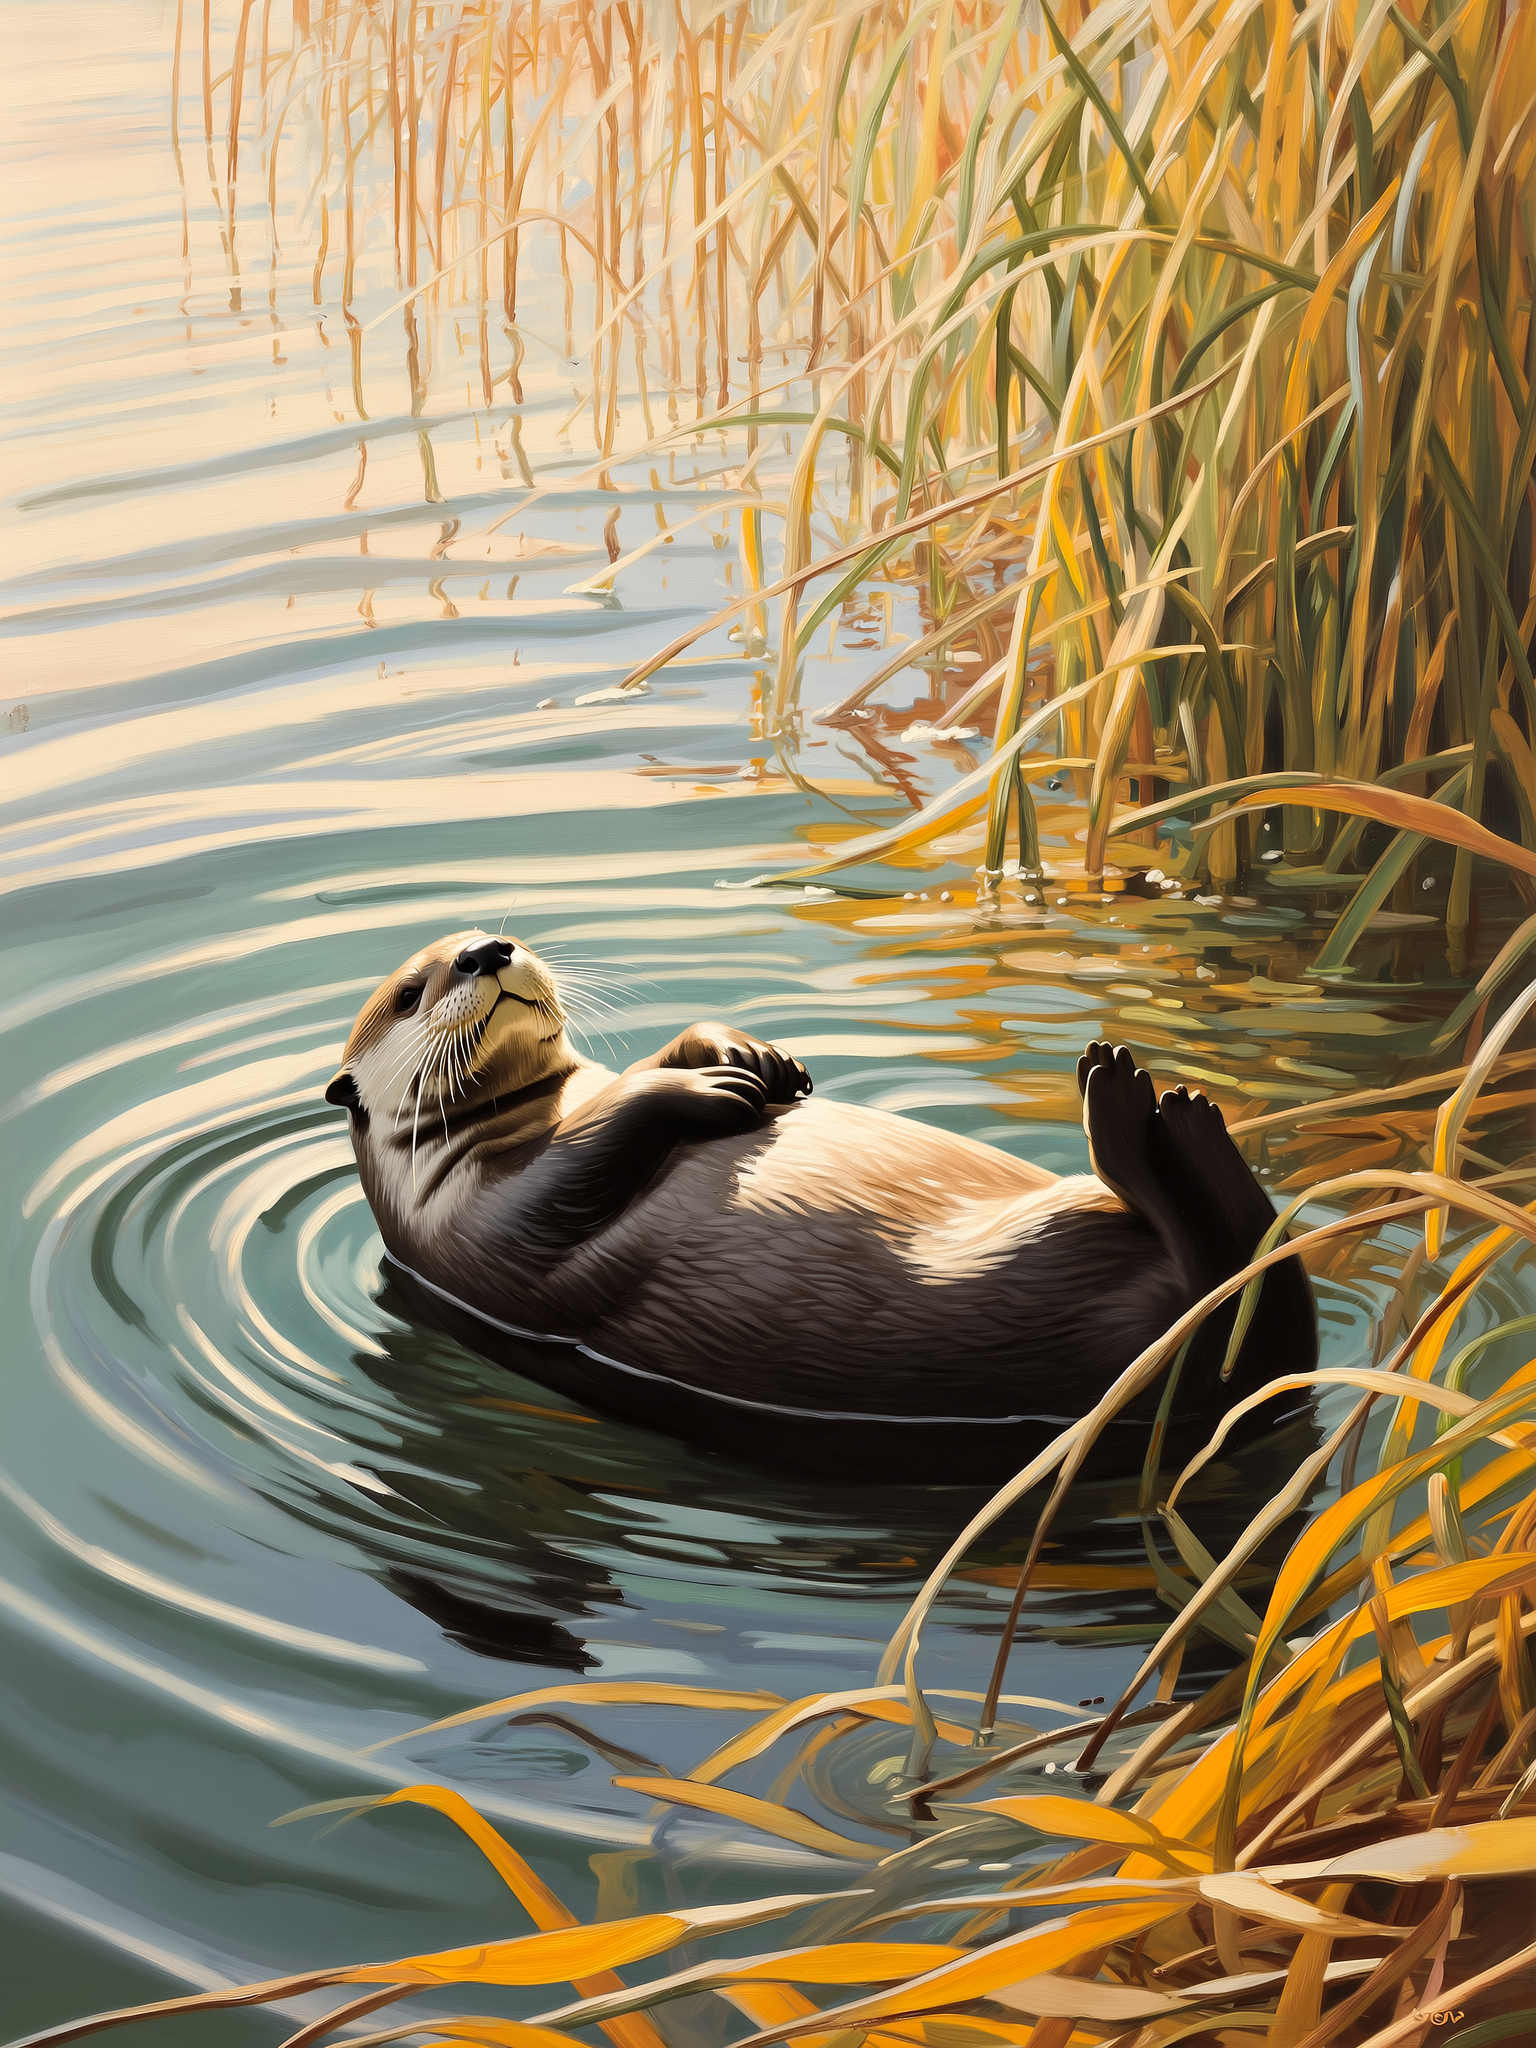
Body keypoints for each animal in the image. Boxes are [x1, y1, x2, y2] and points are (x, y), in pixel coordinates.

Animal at [326, 929, 1317, 1480]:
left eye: (493, 935)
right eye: (410, 992)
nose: (485, 953)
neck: (534, 1111)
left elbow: (659, 1055)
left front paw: (747, 1053)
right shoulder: (473, 1232)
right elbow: (580, 1163)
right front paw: (710, 1089)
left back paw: (1166, 1112)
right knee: (1213, 1280)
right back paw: (1137, 1107)